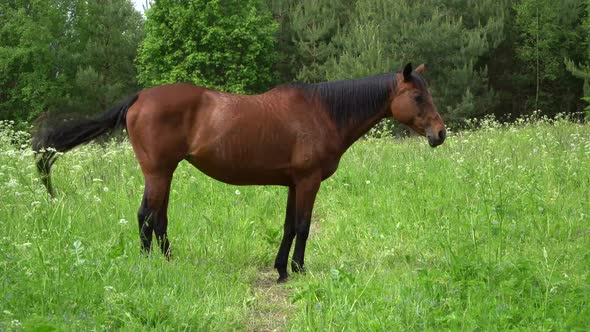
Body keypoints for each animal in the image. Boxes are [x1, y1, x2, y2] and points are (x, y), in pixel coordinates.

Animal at [33, 63, 444, 282]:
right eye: (418, 96)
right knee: (146, 216)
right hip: (158, 172)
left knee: (159, 218)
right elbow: (304, 226)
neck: (323, 112)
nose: (440, 134)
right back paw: (150, 267)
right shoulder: (308, 181)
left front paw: (281, 269)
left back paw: (169, 262)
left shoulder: (293, 183)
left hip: (166, 173)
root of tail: (139, 97)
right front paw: (298, 269)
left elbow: (289, 225)